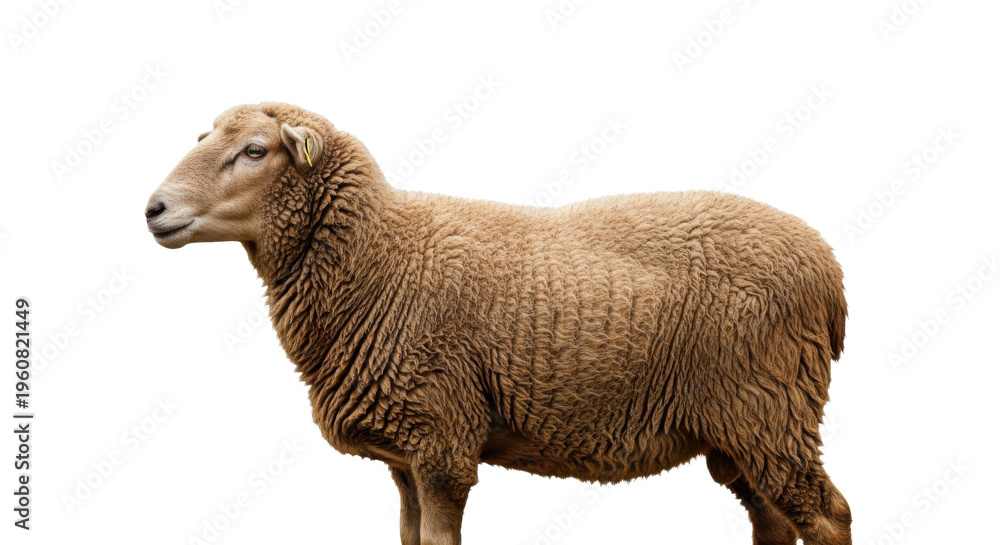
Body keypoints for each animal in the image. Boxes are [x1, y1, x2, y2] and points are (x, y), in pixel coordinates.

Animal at [145, 102, 852, 545]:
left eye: (254, 150)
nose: (154, 209)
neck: (380, 257)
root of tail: (826, 263)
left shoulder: (441, 438)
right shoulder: (404, 453)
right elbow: (407, 536)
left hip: (769, 405)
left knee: (828, 517)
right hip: (741, 425)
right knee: (774, 521)